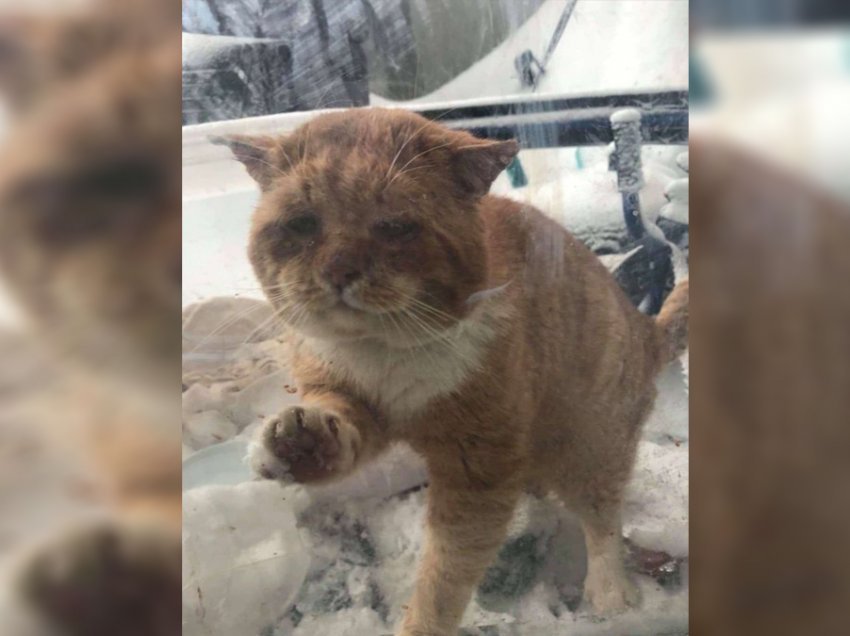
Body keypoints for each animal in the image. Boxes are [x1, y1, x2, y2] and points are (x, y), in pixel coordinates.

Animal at [220, 109, 688, 636]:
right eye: (302, 223)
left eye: (394, 226)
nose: (338, 271)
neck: (383, 355)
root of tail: (647, 328)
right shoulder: (347, 398)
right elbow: (335, 421)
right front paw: (297, 443)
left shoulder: (477, 472)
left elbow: (444, 578)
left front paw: (420, 622)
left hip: (587, 446)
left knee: (603, 519)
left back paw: (610, 595)